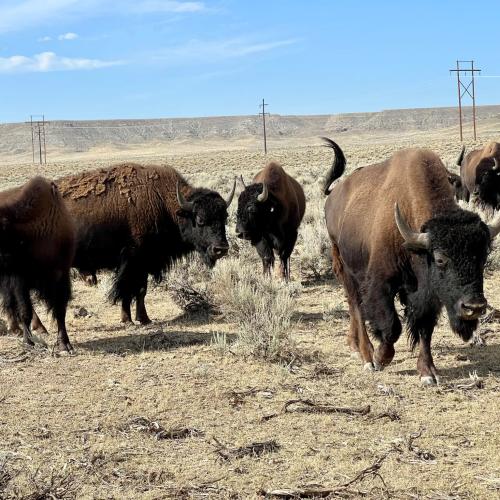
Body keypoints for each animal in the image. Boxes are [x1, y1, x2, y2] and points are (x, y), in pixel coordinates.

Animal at [0, 176, 75, 352]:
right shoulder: (19, 279)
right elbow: (25, 310)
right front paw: (28, 342)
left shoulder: (61, 276)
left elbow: (60, 311)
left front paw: (65, 344)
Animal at [55, 164, 235, 324]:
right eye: (200, 219)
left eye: (225, 218)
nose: (221, 249)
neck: (164, 202)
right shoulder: (133, 262)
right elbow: (128, 290)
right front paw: (130, 319)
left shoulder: (145, 263)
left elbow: (141, 290)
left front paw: (143, 319)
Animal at [322, 139, 498, 384]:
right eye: (440, 259)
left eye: (483, 257)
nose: (474, 307)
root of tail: (333, 195)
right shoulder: (381, 284)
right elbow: (391, 326)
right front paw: (380, 358)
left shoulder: (427, 295)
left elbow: (424, 328)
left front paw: (428, 372)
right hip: (345, 267)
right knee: (356, 306)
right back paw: (366, 356)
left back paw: (355, 347)